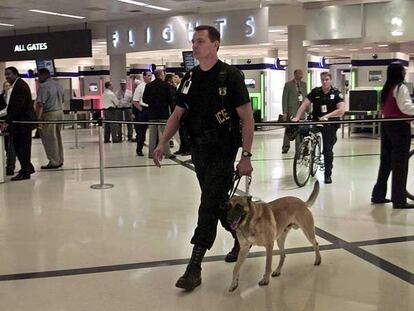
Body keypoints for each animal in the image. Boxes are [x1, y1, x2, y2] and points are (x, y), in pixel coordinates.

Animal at [154, 25, 254, 292]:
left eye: (199, 40)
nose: (194, 46)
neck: (209, 68)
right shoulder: (181, 97)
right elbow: (177, 111)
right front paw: (191, 272)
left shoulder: (237, 83)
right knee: (224, 213)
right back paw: (236, 248)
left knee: (216, 202)